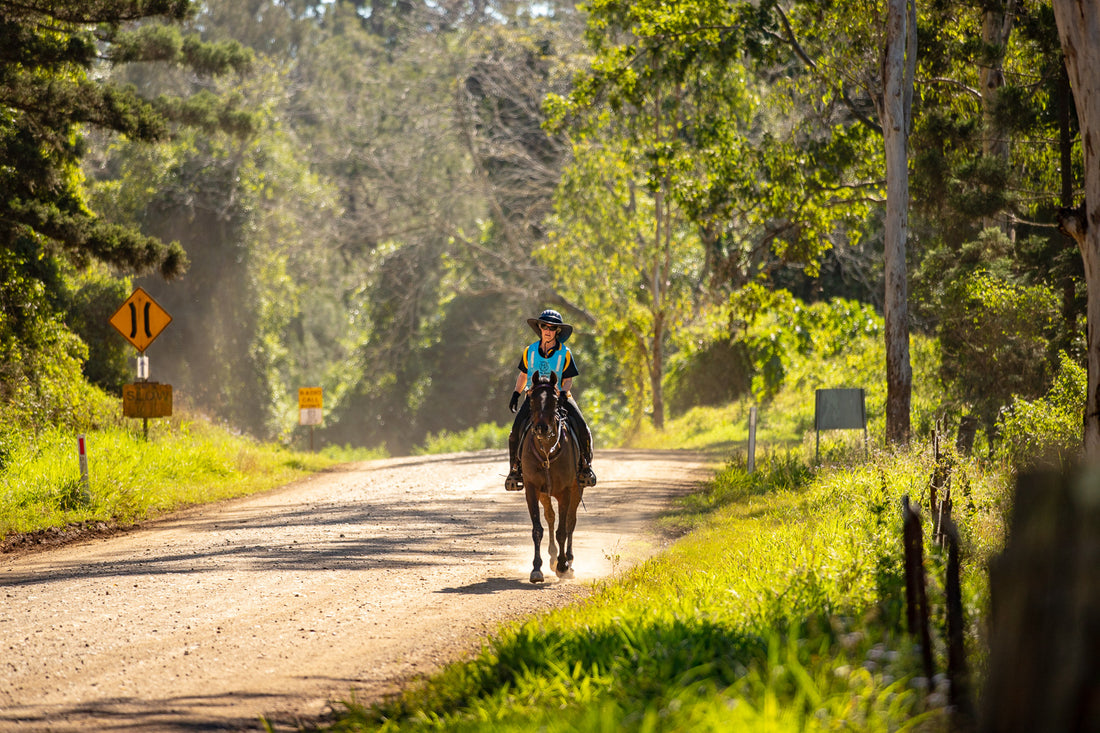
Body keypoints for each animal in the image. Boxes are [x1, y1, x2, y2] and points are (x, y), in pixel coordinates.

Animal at [517, 372, 580, 581]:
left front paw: (562, 565)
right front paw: (537, 568)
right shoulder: (532, 488)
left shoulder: (566, 491)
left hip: (577, 490)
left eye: (554, 400)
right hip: (545, 494)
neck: (547, 450)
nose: (542, 428)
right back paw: (552, 557)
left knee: (570, 521)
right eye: (532, 400)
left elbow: (563, 530)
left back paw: (569, 561)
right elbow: (538, 528)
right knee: (551, 517)